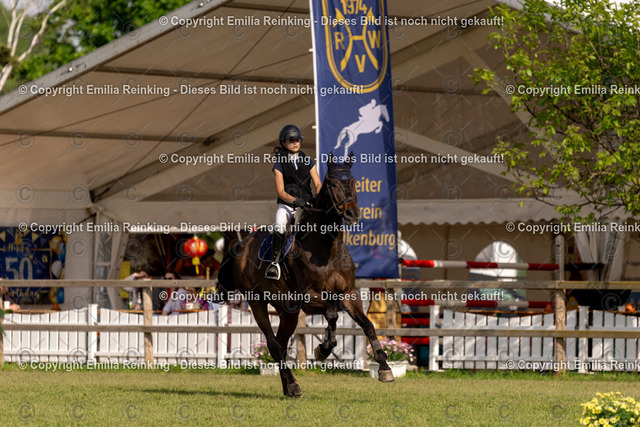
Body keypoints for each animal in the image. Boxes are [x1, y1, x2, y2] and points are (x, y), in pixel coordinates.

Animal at [216, 153, 394, 397]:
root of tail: (243, 245)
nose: (352, 213)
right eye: (332, 184)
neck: (329, 248)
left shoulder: (348, 294)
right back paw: (293, 384)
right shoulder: (309, 298)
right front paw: (324, 349)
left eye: (354, 182)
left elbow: (367, 325)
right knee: (274, 345)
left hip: (288, 310)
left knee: (281, 344)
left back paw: (289, 387)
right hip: (257, 302)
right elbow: (332, 314)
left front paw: (385, 368)